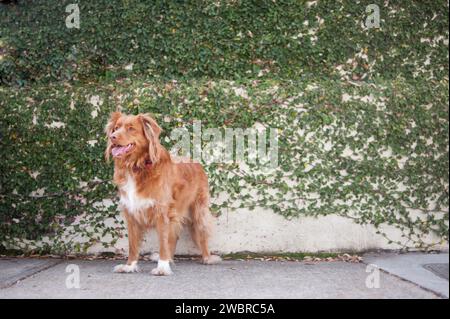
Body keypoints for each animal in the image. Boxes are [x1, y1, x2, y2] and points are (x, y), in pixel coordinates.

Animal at [104, 112, 220, 276]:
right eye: (116, 128)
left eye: (131, 128)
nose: (112, 137)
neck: (136, 167)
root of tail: (196, 162)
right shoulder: (131, 213)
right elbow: (133, 245)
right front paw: (130, 266)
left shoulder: (162, 212)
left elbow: (163, 243)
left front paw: (162, 267)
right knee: (174, 236)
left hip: (198, 210)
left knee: (201, 234)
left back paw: (207, 258)